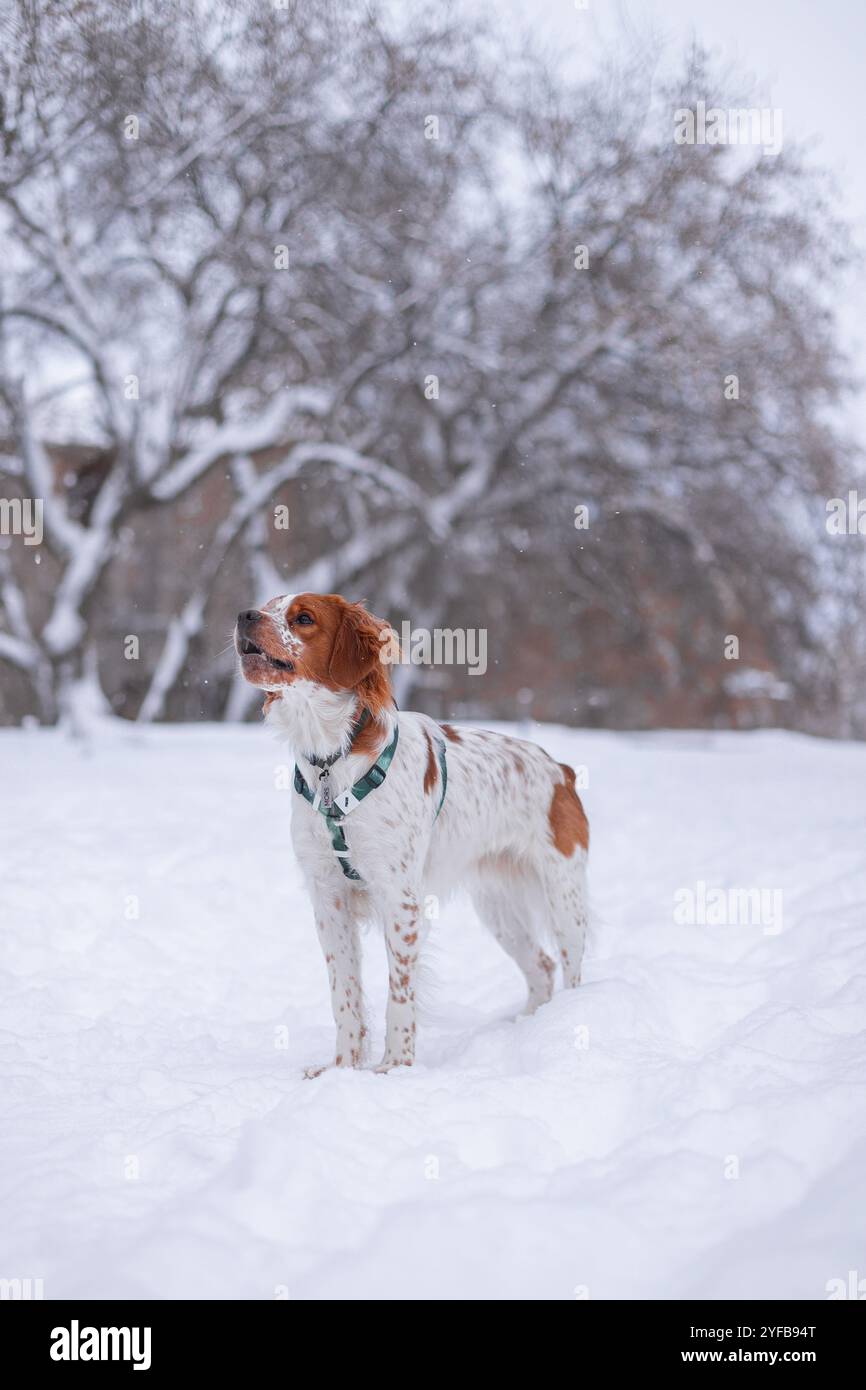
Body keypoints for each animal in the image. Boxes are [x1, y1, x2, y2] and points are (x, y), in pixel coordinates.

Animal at [237, 589, 589, 1073]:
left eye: (303, 618)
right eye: (268, 605)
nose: (243, 615)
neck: (332, 759)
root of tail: (561, 769)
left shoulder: (399, 898)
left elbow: (399, 995)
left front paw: (394, 1067)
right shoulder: (328, 897)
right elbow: (344, 993)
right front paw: (341, 1068)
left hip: (562, 895)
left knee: (570, 968)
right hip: (497, 907)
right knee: (541, 966)